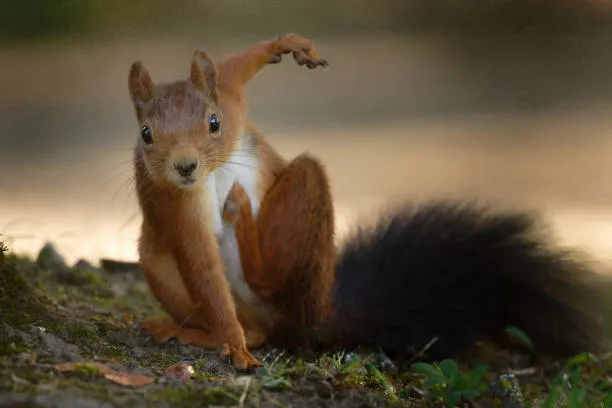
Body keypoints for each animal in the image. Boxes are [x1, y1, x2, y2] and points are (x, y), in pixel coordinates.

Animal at [129, 35, 608, 372]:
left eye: (214, 123)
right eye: (147, 134)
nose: (185, 167)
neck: (211, 172)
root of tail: (314, 316)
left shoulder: (230, 99)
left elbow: (235, 68)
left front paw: (285, 45)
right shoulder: (177, 206)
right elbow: (202, 267)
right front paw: (232, 344)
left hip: (304, 218)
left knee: (277, 285)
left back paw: (244, 223)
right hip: (158, 258)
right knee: (253, 326)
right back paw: (203, 331)